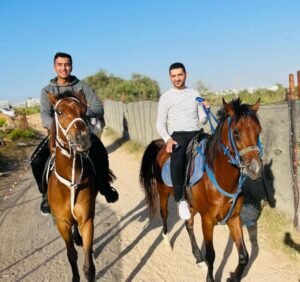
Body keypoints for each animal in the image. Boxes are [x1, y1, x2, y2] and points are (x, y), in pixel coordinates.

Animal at [47, 92, 97, 282]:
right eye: (59, 112)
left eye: (84, 110)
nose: (82, 139)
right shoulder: (62, 223)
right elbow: (71, 255)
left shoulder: (87, 220)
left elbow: (89, 266)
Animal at [140, 98, 262, 280]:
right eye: (236, 132)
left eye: (258, 131)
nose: (256, 169)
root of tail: (163, 145)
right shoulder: (207, 220)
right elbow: (211, 254)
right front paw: (211, 277)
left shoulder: (234, 217)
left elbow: (244, 255)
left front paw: (234, 276)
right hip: (163, 193)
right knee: (165, 214)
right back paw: (167, 241)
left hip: (191, 205)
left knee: (189, 225)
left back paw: (198, 258)